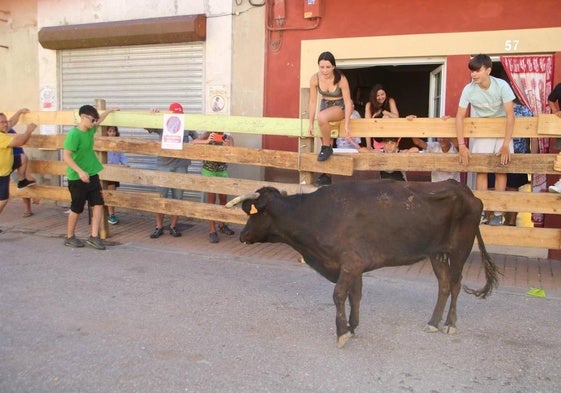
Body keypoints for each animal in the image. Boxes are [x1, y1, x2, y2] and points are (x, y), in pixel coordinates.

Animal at [226, 178, 498, 346]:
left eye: (253, 212)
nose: (242, 235)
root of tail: (464, 189)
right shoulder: (354, 265)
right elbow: (354, 296)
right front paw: (353, 326)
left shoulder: (350, 263)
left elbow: (339, 295)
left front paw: (342, 332)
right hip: (436, 253)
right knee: (443, 284)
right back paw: (433, 322)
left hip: (460, 250)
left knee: (455, 284)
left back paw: (450, 324)